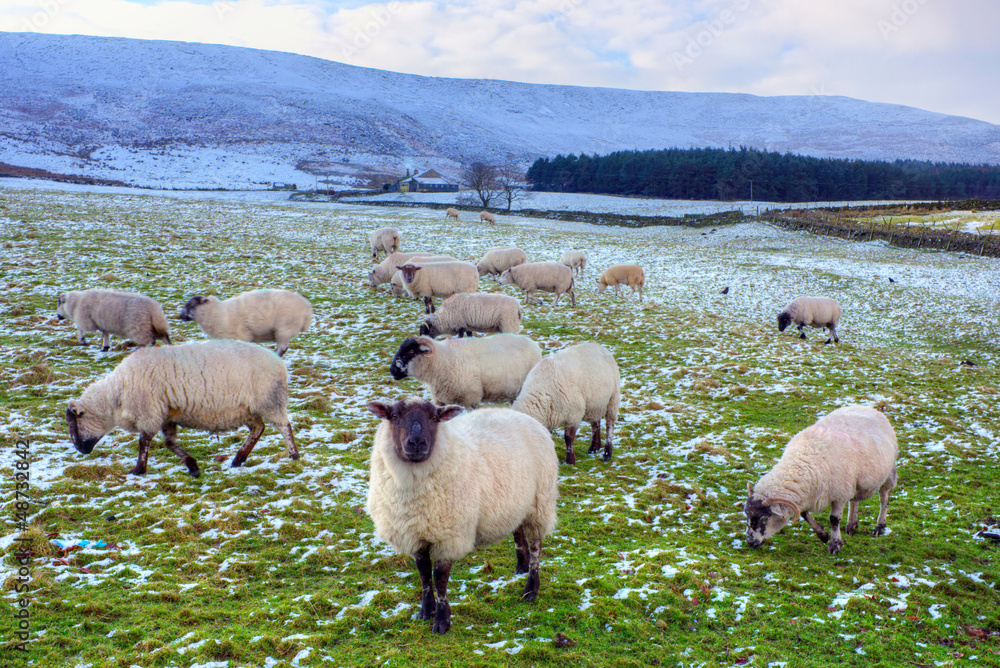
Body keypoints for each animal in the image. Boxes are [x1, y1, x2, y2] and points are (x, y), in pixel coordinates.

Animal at [65, 340, 299, 478]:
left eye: (73, 422)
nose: (79, 449)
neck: (116, 394)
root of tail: (279, 362)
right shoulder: (166, 415)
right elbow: (169, 443)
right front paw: (192, 466)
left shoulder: (149, 412)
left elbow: (143, 442)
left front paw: (138, 470)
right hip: (246, 409)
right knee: (258, 428)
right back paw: (238, 459)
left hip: (270, 401)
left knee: (284, 426)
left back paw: (293, 455)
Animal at [178, 289, 312, 357]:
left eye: (191, 305)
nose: (180, 316)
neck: (214, 311)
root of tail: (306, 307)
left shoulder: (239, 336)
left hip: (284, 329)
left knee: (282, 348)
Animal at [366, 397, 558, 634]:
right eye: (394, 416)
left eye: (434, 418)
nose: (417, 443)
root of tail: (526, 417)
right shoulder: (414, 535)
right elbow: (423, 574)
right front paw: (425, 611)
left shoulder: (449, 536)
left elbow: (439, 578)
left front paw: (441, 621)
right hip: (517, 503)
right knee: (518, 532)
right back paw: (520, 568)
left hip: (540, 503)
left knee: (536, 547)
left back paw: (531, 588)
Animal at [744, 405, 897, 555]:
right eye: (746, 514)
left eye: (764, 518)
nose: (750, 543)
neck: (801, 461)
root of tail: (870, 408)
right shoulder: (808, 496)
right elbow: (804, 514)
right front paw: (823, 534)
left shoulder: (839, 494)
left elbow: (834, 519)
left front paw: (835, 544)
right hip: (855, 482)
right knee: (854, 501)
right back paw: (851, 525)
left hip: (887, 473)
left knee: (884, 498)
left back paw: (879, 526)